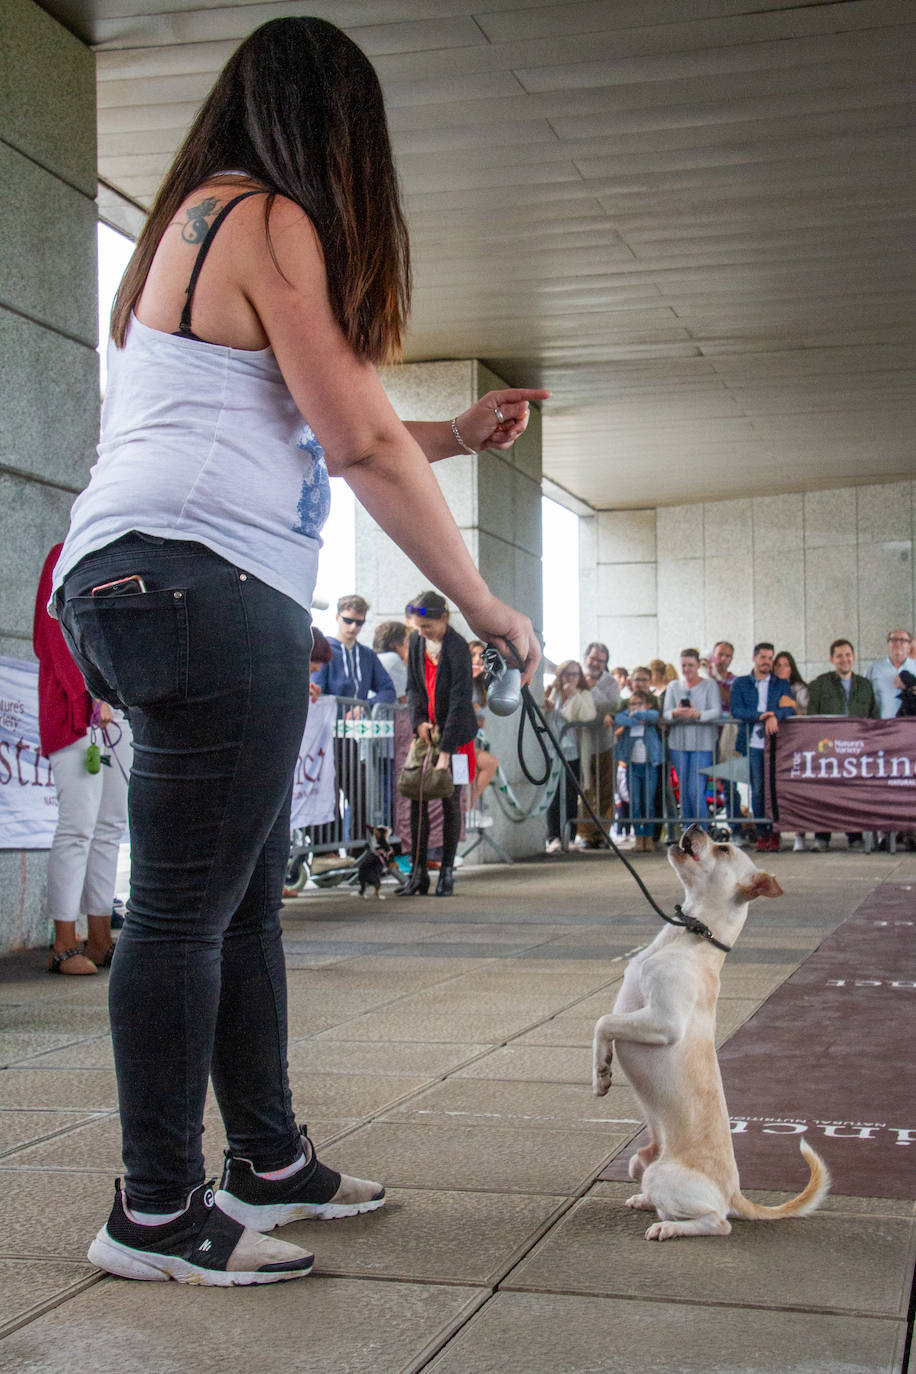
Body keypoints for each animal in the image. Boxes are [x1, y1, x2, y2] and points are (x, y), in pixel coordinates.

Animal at [596, 824, 829, 1247]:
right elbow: (604, 1023)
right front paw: (601, 1071)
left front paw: (602, 1074)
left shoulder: (664, 1023)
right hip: (644, 1164)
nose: (695, 826)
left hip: (667, 1178)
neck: (690, 937)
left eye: (723, 848)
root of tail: (733, 1192)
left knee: (718, 1222)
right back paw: (644, 1201)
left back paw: (668, 1227)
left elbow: (604, 1022)